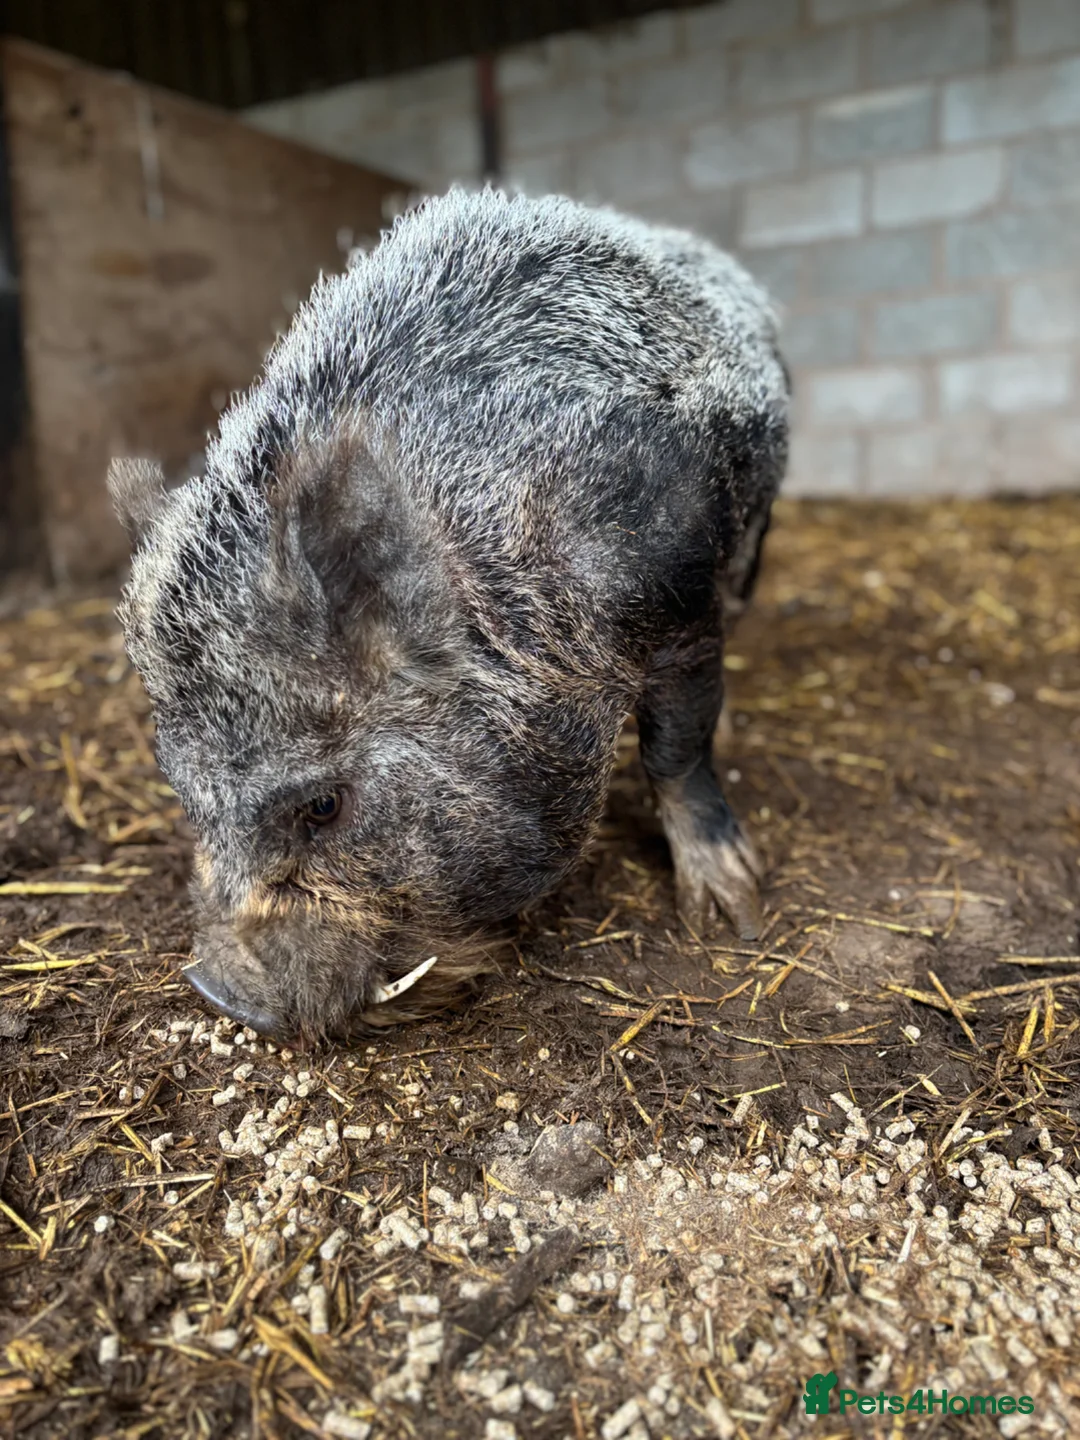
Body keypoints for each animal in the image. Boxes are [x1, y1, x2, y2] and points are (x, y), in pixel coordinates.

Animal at [108, 188, 789, 1040]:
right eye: (182, 790)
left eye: (324, 805)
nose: (217, 989)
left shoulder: (677, 593)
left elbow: (677, 746)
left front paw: (732, 911)